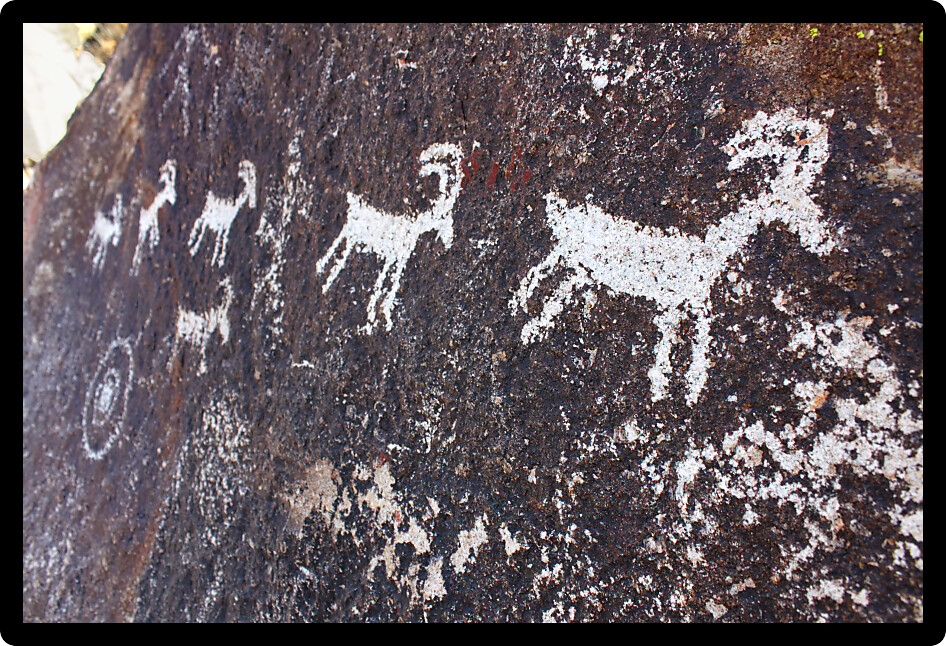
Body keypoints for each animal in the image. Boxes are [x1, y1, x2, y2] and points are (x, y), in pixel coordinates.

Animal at [316, 143, 464, 334]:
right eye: (446, 219)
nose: (448, 242)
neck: (412, 229)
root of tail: (354, 204)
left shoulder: (396, 258)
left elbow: (387, 284)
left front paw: (377, 315)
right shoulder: (394, 256)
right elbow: (386, 283)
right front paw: (376, 316)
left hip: (352, 238)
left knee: (342, 254)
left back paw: (327, 279)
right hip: (349, 232)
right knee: (335, 248)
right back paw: (322, 273)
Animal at [510, 108, 837, 406]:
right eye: (797, 199)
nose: (822, 240)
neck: (710, 251)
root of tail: (564, 206)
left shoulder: (691, 303)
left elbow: (696, 341)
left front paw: (687, 389)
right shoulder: (676, 303)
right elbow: (671, 345)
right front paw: (663, 389)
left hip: (581, 270)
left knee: (558, 289)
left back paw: (532, 325)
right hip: (567, 254)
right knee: (541, 270)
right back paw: (521, 306)